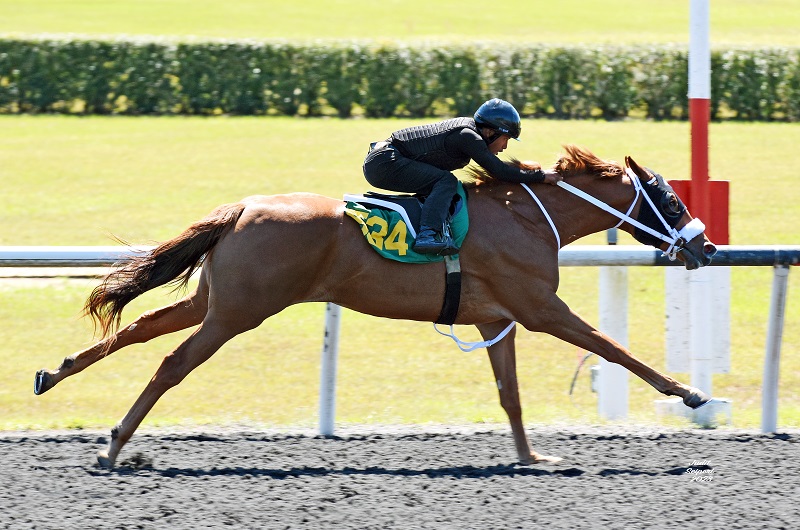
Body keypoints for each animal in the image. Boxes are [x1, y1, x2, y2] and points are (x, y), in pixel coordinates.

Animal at [34, 143, 716, 466]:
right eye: (670, 198)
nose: (704, 246)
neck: (528, 216)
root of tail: (242, 209)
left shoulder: (496, 318)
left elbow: (511, 395)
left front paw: (529, 456)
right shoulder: (541, 309)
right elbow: (614, 348)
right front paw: (689, 394)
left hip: (214, 300)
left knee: (139, 329)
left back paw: (54, 373)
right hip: (238, 313)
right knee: (171, 364)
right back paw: (114, 444)